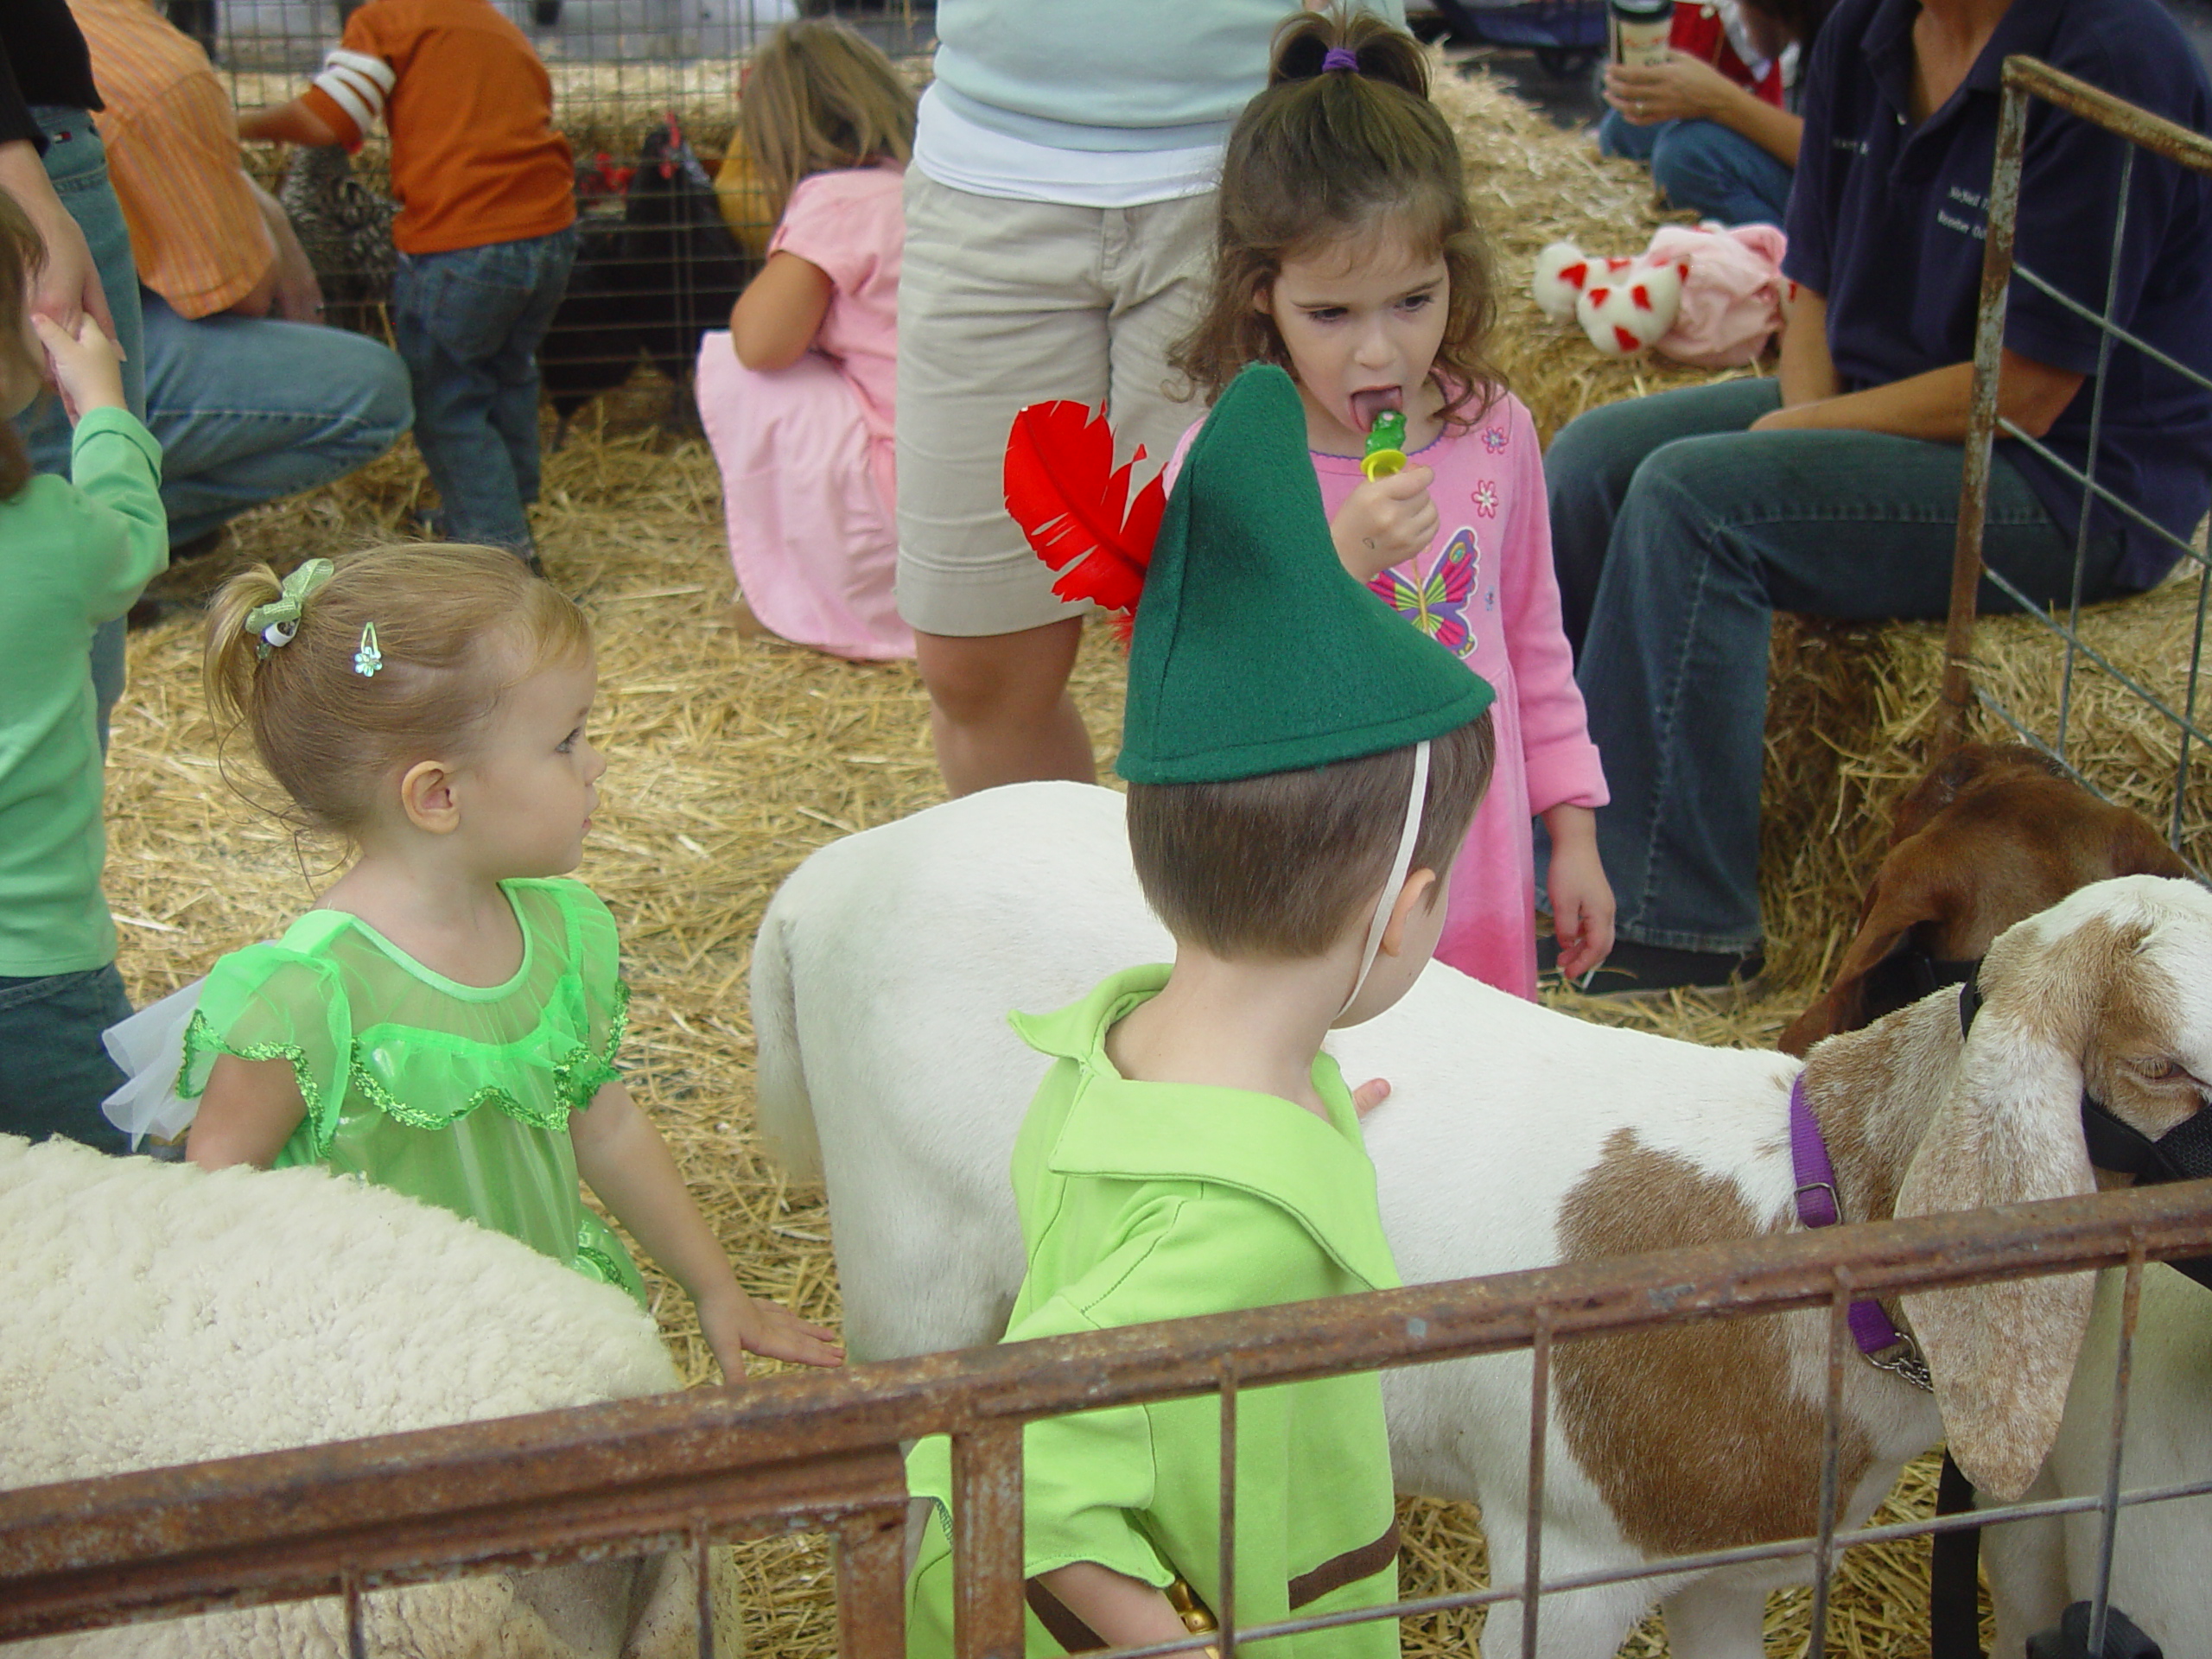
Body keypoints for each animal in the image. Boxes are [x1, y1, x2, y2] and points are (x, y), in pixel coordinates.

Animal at [747, 783, 2212, 1659]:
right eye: (2173, 1068)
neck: (1802, 1221)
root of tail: (829, 876)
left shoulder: (1737, 1570)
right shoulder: (1566, 1565)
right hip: (911, 1287)